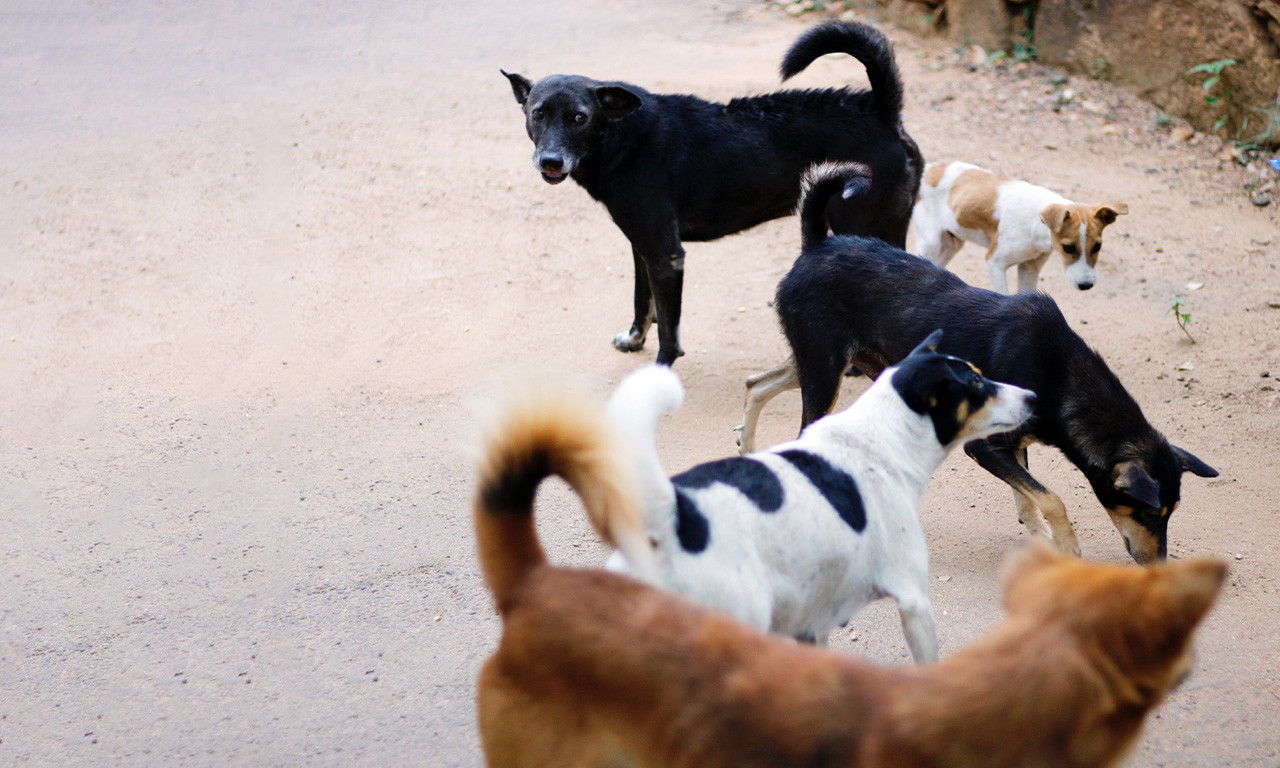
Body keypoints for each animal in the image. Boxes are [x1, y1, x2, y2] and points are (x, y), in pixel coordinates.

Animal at [499, 19, 921, 363]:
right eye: (538, 113)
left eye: (579, 118)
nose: (551, 162)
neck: (623, 136)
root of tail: (880, 109)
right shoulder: (641, 247)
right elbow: (642, 302)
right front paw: (634, 340)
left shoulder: (667, 255)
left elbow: (669, 332)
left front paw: (660, 371)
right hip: (890, 227)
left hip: (856, 227)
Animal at [604, 335, 1034, 660]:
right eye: (976, 384)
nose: (1032, 396)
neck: (878, 439)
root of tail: (675, 515)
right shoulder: (914, 602)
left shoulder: (810, 625)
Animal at [911, 160, 1131, 293]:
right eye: (1068, 248)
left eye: (1098, 246)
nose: (1086, 285)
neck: (1036, 225)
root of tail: (928, 168)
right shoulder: (995, 262)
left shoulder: (1029, 269)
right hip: (930, 244)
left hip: (952, 244)